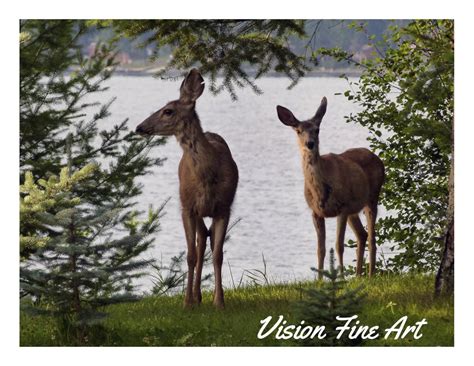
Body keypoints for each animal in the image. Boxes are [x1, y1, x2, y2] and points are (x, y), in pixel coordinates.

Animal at [135, 69, 239, 308]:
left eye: (168, 111)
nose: (139, 127)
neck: (207, 176)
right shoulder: (187, 207)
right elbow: (190, 255)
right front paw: (187, 302)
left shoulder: (224, 207)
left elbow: (218, 254)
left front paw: (219, 301)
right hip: (193, 207)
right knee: (200, 242)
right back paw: (197, 296)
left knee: (205, 238)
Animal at [276, 97, 384, 278]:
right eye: (298, 130)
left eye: (317, 129)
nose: (310, 143)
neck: (321, 191)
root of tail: (376, 157)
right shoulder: (316, 212)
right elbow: (320, 249)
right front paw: (319, 279)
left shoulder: (343, 207)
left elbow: (339, 246)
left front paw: (340, 277)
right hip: (354, 209)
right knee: (362, 235)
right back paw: (357, 276)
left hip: (372, 198)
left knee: (371, 237)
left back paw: (370, 275)